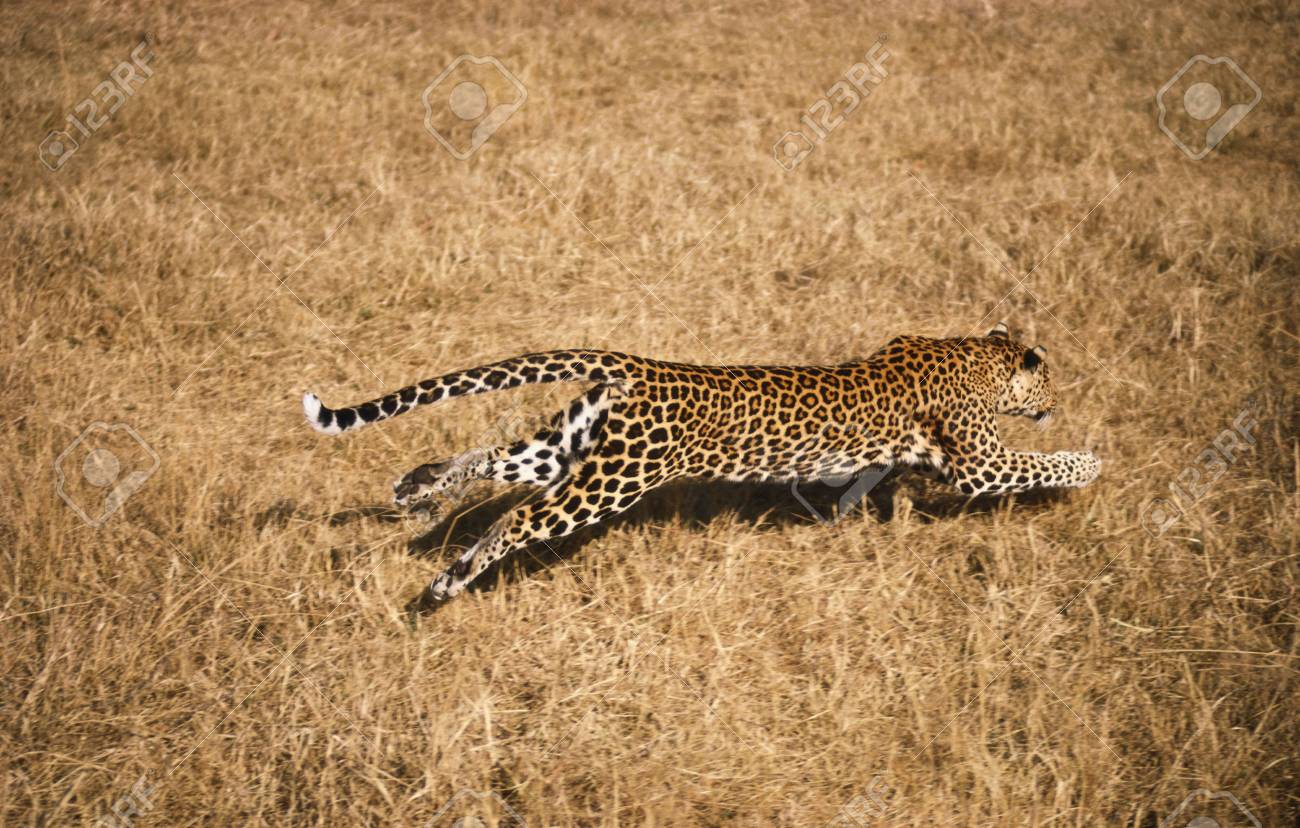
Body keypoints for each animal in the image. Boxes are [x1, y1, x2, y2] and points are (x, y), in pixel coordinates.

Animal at [303, 322, 1101, 606]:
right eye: (1051, 379)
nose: (1059, 399)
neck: (977, 353)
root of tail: (639, 365)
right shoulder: (980, 464)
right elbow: (1041, 464)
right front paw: (1090, 463)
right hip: (609, 483)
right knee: (521, 519)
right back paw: (450, 577)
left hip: (571, 449)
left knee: (493, 458)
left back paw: (418, 487)